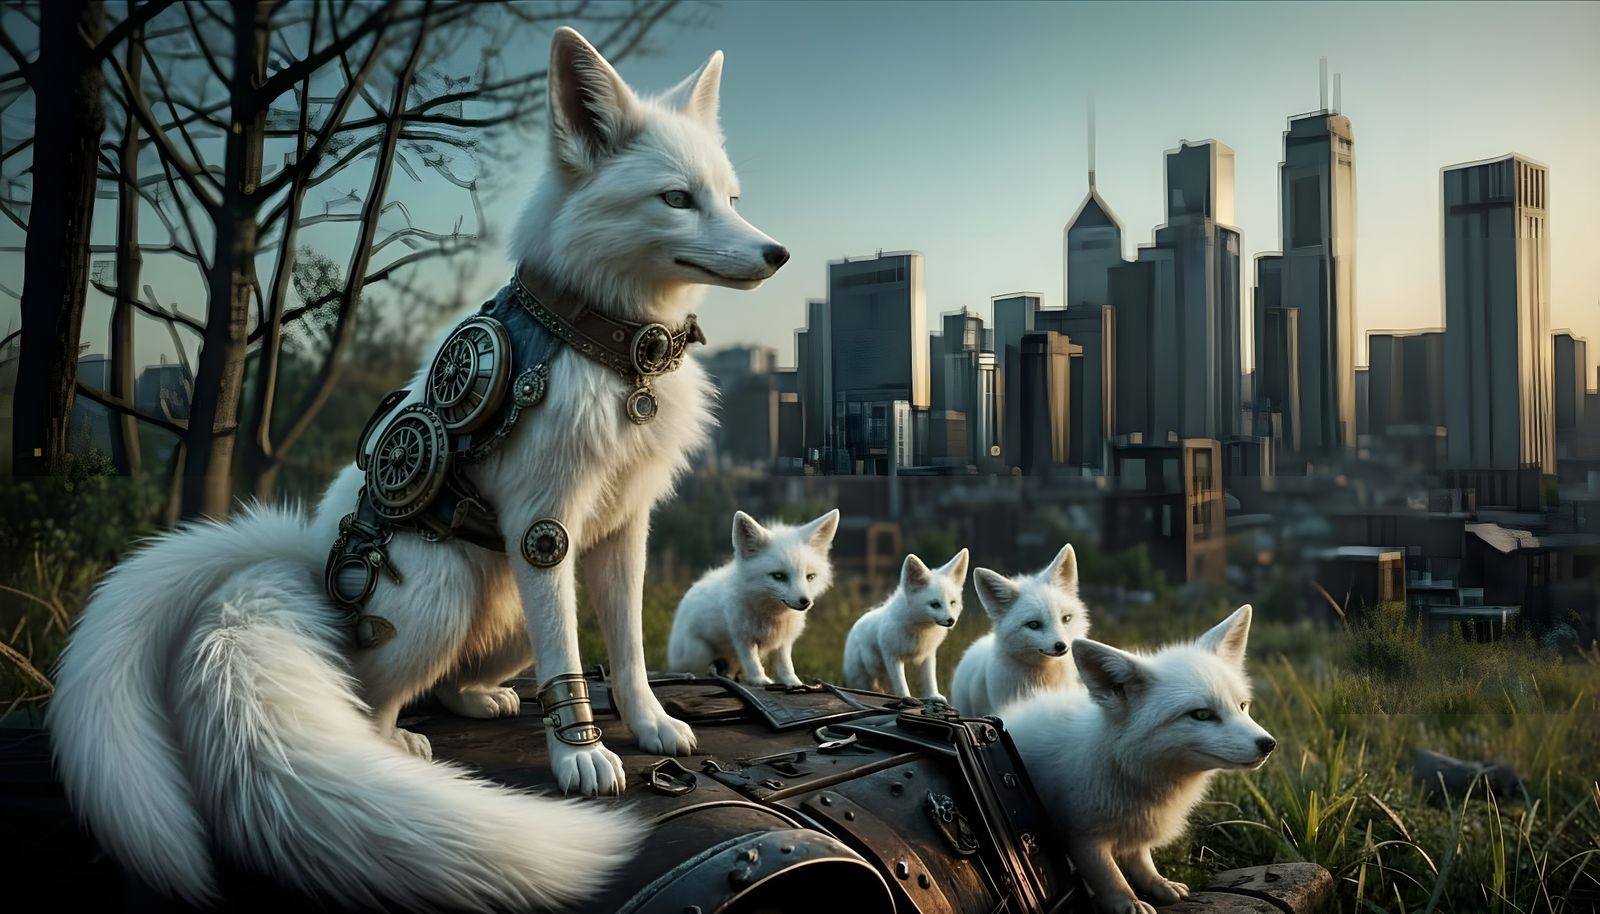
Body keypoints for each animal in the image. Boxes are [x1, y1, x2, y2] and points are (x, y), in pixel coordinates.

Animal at [47, 27, 788, 912]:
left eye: (733, 198)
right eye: (677, 199)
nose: (777, 253)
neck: (610, 351)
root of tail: (301, 563)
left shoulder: (619, 530)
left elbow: (629, 649)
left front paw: (646, 726)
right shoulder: (544, 533)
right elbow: (570, 666)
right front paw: (579, 755)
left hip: (506, 604)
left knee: (460, 684)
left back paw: (479, 697)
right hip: (448, 592)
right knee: (366, 703)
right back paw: (394, 752)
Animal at [667, 509, 840, 686]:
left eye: (810, 577)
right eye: (778, 576)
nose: (805, 602)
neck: (772, 616)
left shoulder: (783, 642)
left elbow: (785, 666)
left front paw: (794, 683)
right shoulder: (742, 638)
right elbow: (752, 662)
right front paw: (761, 681)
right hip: (699, 654)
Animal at [842, 549, 970, 700]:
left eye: (952, 603)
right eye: (935, 604)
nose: (951, 621)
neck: (919, 628)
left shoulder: (928, 655)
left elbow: (930, 680)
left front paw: (933, 696)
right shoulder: (892, 657)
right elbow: (901, 684)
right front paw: (906, 698)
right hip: (866, 675)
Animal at [1004, 605, 1277, 914]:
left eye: (1242, 706)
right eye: (1201, 715)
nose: (1268, 745)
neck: (1126, 768)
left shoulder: (1136, 826)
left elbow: (1141, 858)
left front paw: (1158, 884)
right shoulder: (1082, 836)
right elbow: (1109, 875)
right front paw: (1128, 903)